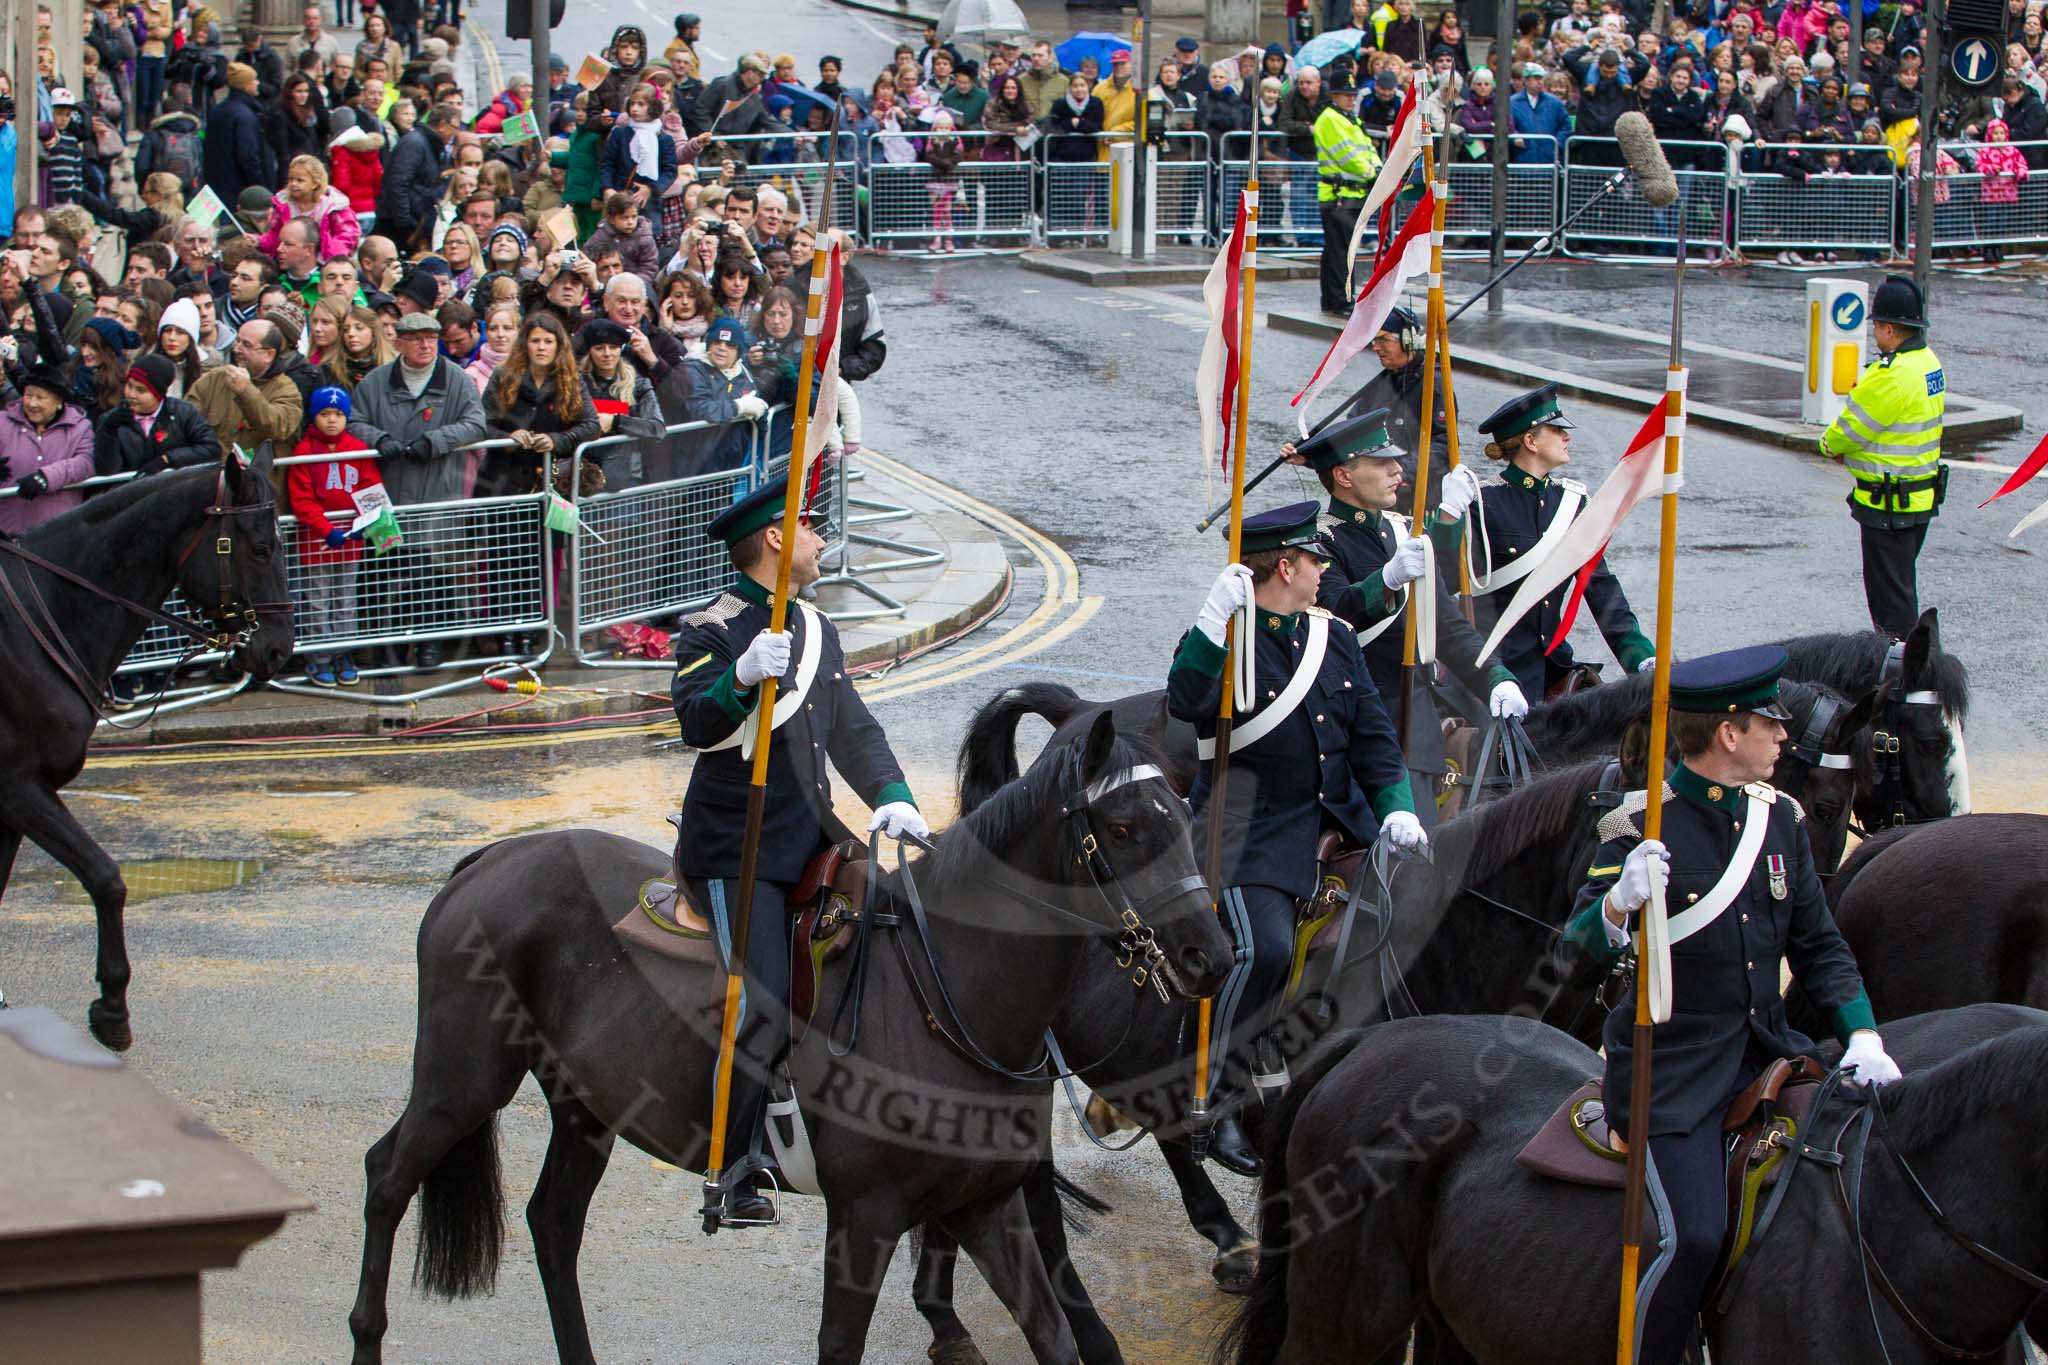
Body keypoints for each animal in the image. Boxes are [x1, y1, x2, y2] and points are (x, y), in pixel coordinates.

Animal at [0, 464, 292, 1055]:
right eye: (260, 547)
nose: (279, 648)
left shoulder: (10, 804)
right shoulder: (18, 788)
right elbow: (106, 878)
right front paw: (112, 1009)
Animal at [346, 716, 1228, 1365]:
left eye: (1189, 816)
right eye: (1121, 826)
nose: (1210, 956)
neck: (947, 995)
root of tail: (490, 856)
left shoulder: (984, 1206)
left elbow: (1051, 1334)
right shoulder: (866, 1218)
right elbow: (839, 1347)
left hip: (585, 1106)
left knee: (554, 1225)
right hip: (462, 1081)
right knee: (387, 1176)